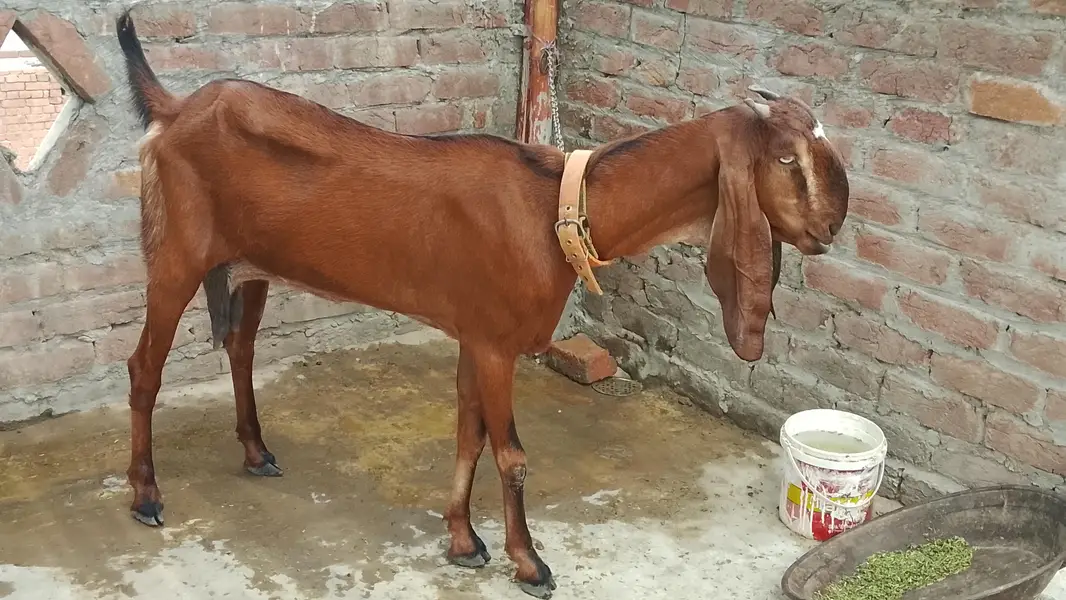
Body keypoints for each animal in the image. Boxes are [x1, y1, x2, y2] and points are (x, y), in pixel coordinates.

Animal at [115, 10, 848, 598]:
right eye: (786, 158)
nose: (833, 224)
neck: (560, 209)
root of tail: (175, 110)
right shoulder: (496, 342)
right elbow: (512, 455)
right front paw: (529, 563)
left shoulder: (473, 333)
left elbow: (469, 435)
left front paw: (463, 541)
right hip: (175, 256)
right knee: (143, 367)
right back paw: (146, 494)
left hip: (250, 267)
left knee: (240, 348)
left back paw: (255, 451)